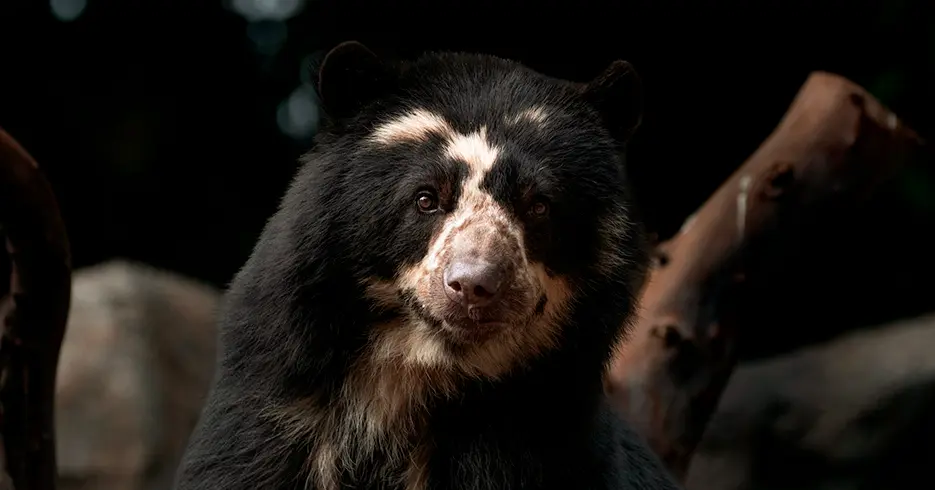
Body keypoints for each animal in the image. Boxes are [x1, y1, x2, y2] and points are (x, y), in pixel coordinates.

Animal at [174, 41, 681, 490]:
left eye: (539, 205)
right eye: (426, 199)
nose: (475, 285)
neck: (413, 374)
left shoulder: (537, 435)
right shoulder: (273, 416)